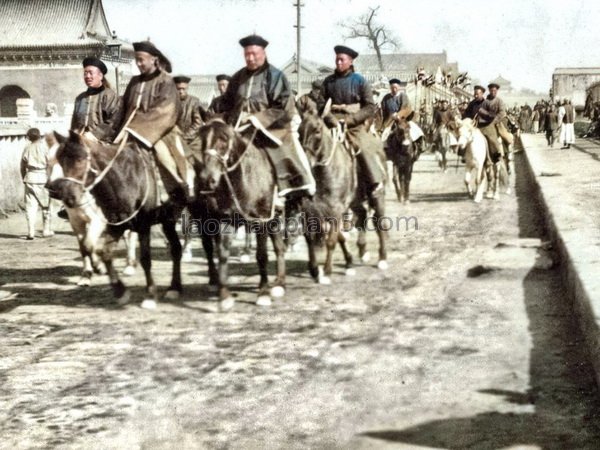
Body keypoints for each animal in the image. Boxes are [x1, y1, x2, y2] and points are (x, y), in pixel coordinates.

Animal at [46, 132, 183, 304]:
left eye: (80, 159)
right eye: (56, 160)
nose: (67, 196)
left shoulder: (130, 223)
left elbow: (145, 258)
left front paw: (150, 295)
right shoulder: (102, 223)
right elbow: (93, 249)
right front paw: (103, 281)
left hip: (169, 217)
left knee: (176, 247)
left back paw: (173, 287)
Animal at [191, 118, 288, 310]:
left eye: (223, 139)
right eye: (203, 140)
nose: (206, 179)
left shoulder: (261, 221)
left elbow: (261, 256)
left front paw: (263, 293)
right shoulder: (225, 221)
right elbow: (222, 254)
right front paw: (224, 297)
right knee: (279, 247)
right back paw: (280, 282)